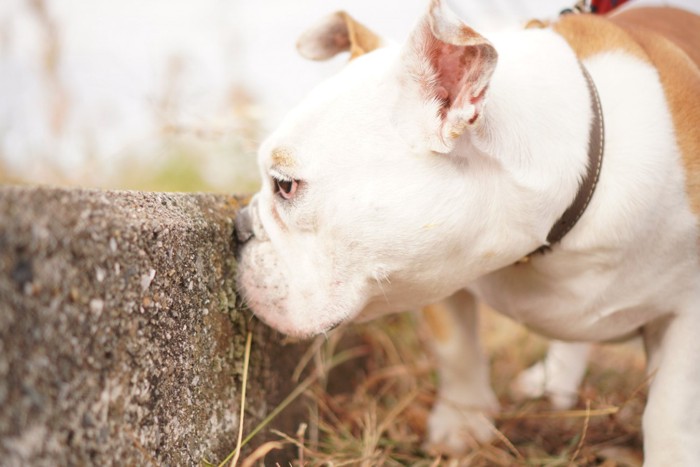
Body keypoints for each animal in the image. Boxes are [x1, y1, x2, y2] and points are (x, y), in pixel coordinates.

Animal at [235, 1, 700, 464]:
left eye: (285, 185)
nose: (238, 227)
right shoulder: (435, 271)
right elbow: (456, 348)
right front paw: (461, 423)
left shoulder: (688, 316)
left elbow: (669, 407)